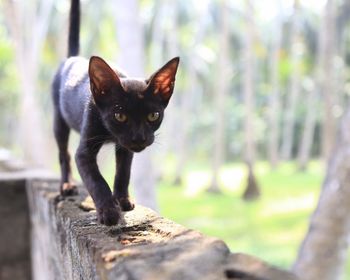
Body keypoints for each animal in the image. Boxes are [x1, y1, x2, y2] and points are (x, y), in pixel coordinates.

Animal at [52, 0, 180, 225]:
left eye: (153, 116)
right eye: (119, 116)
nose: (139, 137)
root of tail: (72, 58)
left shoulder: (125, 148)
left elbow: (123, 173)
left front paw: (122, 200)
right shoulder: (84, 152)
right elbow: (96, 180)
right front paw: (109, 211)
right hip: (59, 120)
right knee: (63, 153)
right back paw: (67, 185)